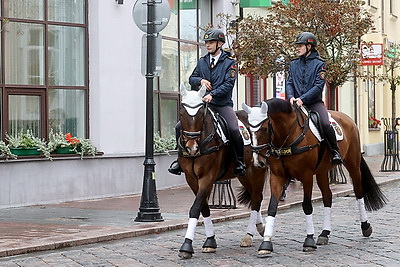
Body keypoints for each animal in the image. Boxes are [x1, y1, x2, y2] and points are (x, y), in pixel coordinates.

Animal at [177, 84, 268, 260]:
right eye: (182, 112)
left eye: (200, 112)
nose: (191, 148)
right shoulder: (191, 179)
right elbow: (203, 207)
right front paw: (210, 241)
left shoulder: (207, 177)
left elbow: (195, 208)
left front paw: (186, 246)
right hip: (244, 175)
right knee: (255, 197)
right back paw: (259, 227)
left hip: (258, 170)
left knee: (257, 198)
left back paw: (248, 235)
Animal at [242, 98, 386, 258]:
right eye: (249, 130)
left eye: (265, 128)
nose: (258, 162)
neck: (287, 135)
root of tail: (348, 119)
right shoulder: (277, 176)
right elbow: (272, 206)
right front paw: (266, 243)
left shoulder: (306, 175)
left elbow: (307, 205)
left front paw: (309, 241)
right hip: (322, 171)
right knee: (327, 196)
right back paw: (324, 233)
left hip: (353, 164)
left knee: (359, 192)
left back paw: (365, 226)